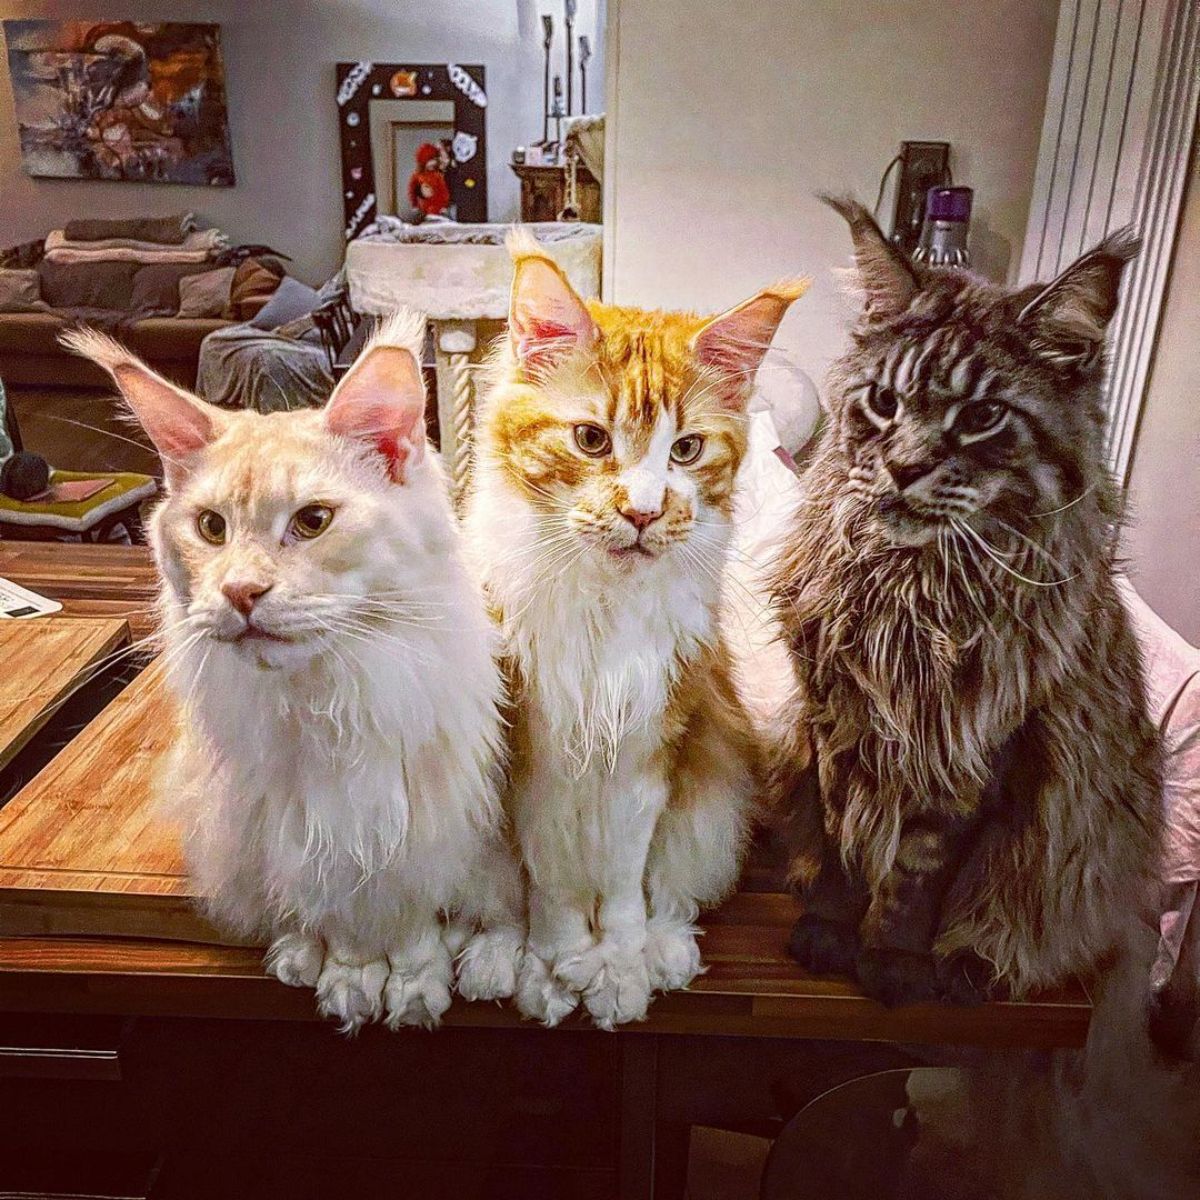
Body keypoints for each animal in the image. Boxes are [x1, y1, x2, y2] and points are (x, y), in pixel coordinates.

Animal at [66, 316, 520, 1032]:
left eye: (312, 522)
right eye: (211, 528)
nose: (241, 593)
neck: (324, 697)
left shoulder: (423, 826)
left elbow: (418, 919)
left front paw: (415, 986)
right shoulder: (310, 829)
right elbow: (351, 922)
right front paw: (353, 976)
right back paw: (300, 951)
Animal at [768, 201, 1161, 1008]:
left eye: (983, 417)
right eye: (883, 403)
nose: (904, 467)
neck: (913, 594)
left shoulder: (975, 753)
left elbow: (916, 878)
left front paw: (892, 963)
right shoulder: (838, 723)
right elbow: (843, 844)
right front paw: (828, 932)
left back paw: (968, 968)